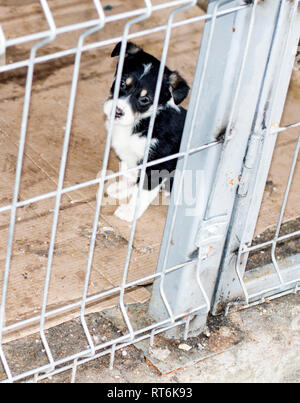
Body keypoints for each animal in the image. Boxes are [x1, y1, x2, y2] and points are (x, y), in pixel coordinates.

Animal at [104, 42, 189, 223]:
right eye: (122, 83)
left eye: (145, 99)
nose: (118, 111)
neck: (144, 121)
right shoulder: (130, 155)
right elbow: (128, 174)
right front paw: (121, 189)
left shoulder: (156, 165)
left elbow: (141, 192)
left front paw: (128, 212)